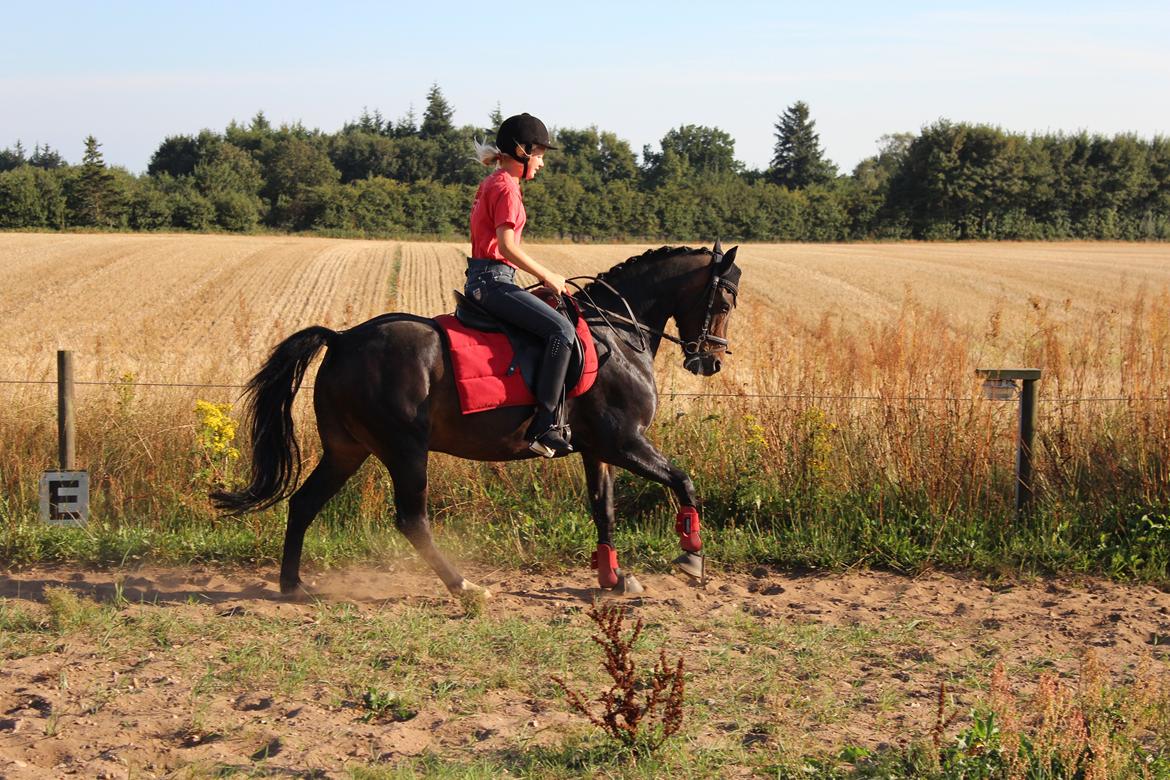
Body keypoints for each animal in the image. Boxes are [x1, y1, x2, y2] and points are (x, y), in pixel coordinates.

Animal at [210, 244, 739, 598]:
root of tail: (341, 339)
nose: (709, 361)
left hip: (347, 449)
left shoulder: (598, 449)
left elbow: (603, 509)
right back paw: (464, 587)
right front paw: (692, 557)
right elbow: (683, 480)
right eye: (724, 301)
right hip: (405, 450)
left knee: (303, 503)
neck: (618, 332)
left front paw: (612, 578)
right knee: (412, 520)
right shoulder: (625, 442)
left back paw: (292, 586)